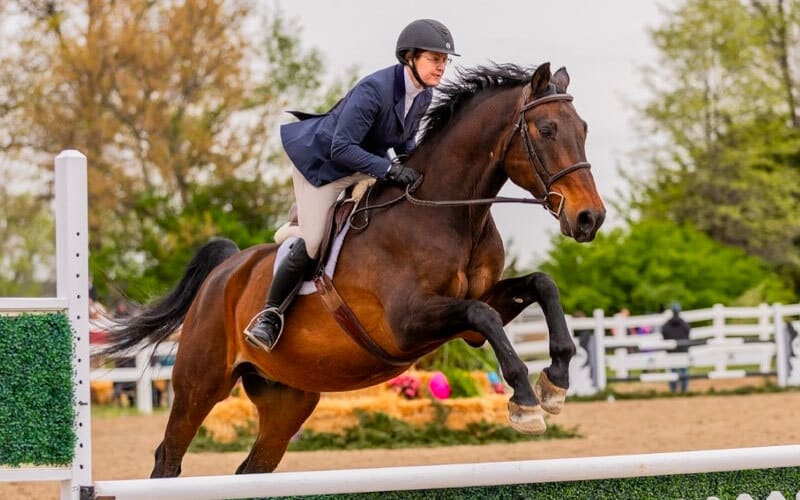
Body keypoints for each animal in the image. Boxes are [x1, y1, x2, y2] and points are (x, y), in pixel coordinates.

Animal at [104, 62, 605, 477]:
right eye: (546, 129)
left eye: (583, 129)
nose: (590, 218)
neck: (449, 214)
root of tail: (225, 269)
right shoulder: (408, 322)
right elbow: (483, 315)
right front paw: (525, 402)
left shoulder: (471, 317)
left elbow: (540, 285)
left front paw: (556, 382)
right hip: (199, 382)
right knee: (169, 456)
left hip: (287, 397)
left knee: (253, 467)